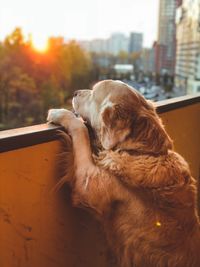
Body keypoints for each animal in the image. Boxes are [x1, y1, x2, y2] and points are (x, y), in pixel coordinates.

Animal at [47, 80, 200, 267]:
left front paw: (60, 113)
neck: (140, 152)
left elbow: (80, 129)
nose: (75, 92)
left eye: (93, 93)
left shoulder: (87, 181)